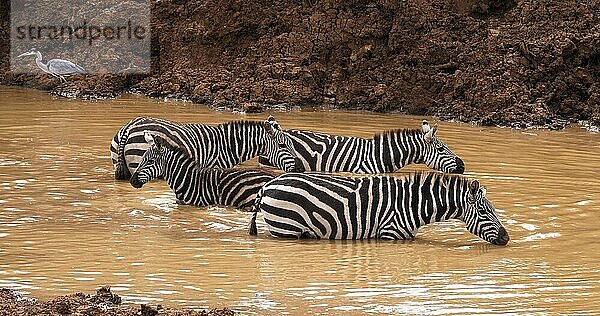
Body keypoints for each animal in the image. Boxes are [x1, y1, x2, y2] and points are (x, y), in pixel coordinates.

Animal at [109, 115, 304, 180]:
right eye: (283, 145)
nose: (300, 168)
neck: (228, 145)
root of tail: (130, 126)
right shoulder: (214, 168)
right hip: (139, 163)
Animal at [251, 170, 508, 244]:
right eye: (484, 212)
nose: (506, 238)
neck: (413, 204)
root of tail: (268, 185)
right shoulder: (390, 234)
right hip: (285, 229)